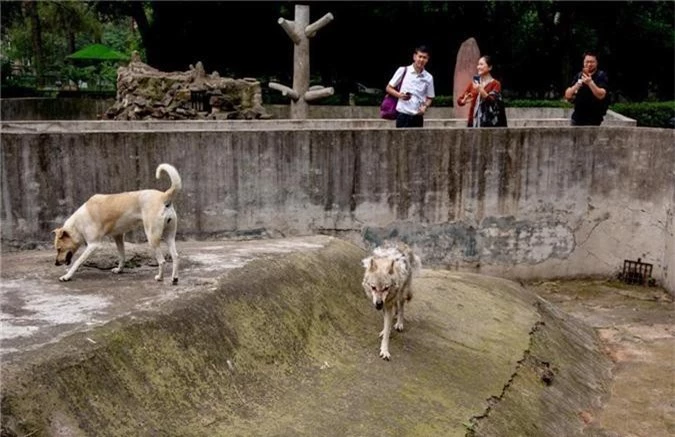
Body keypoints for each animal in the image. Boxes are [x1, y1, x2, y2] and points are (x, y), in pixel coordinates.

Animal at [53, 164, 182, 282]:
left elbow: (77, 261)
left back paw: (160, 277)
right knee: (175, 256)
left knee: (162, 261)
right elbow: (122, 255)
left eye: (59, 249)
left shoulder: (93, 245)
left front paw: (67, 276)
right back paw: (174, 278)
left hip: (152, 237)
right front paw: (119, 270)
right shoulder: (118, 236)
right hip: (169, 236)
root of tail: (164, 196)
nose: (56, 263)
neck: (77, 225)